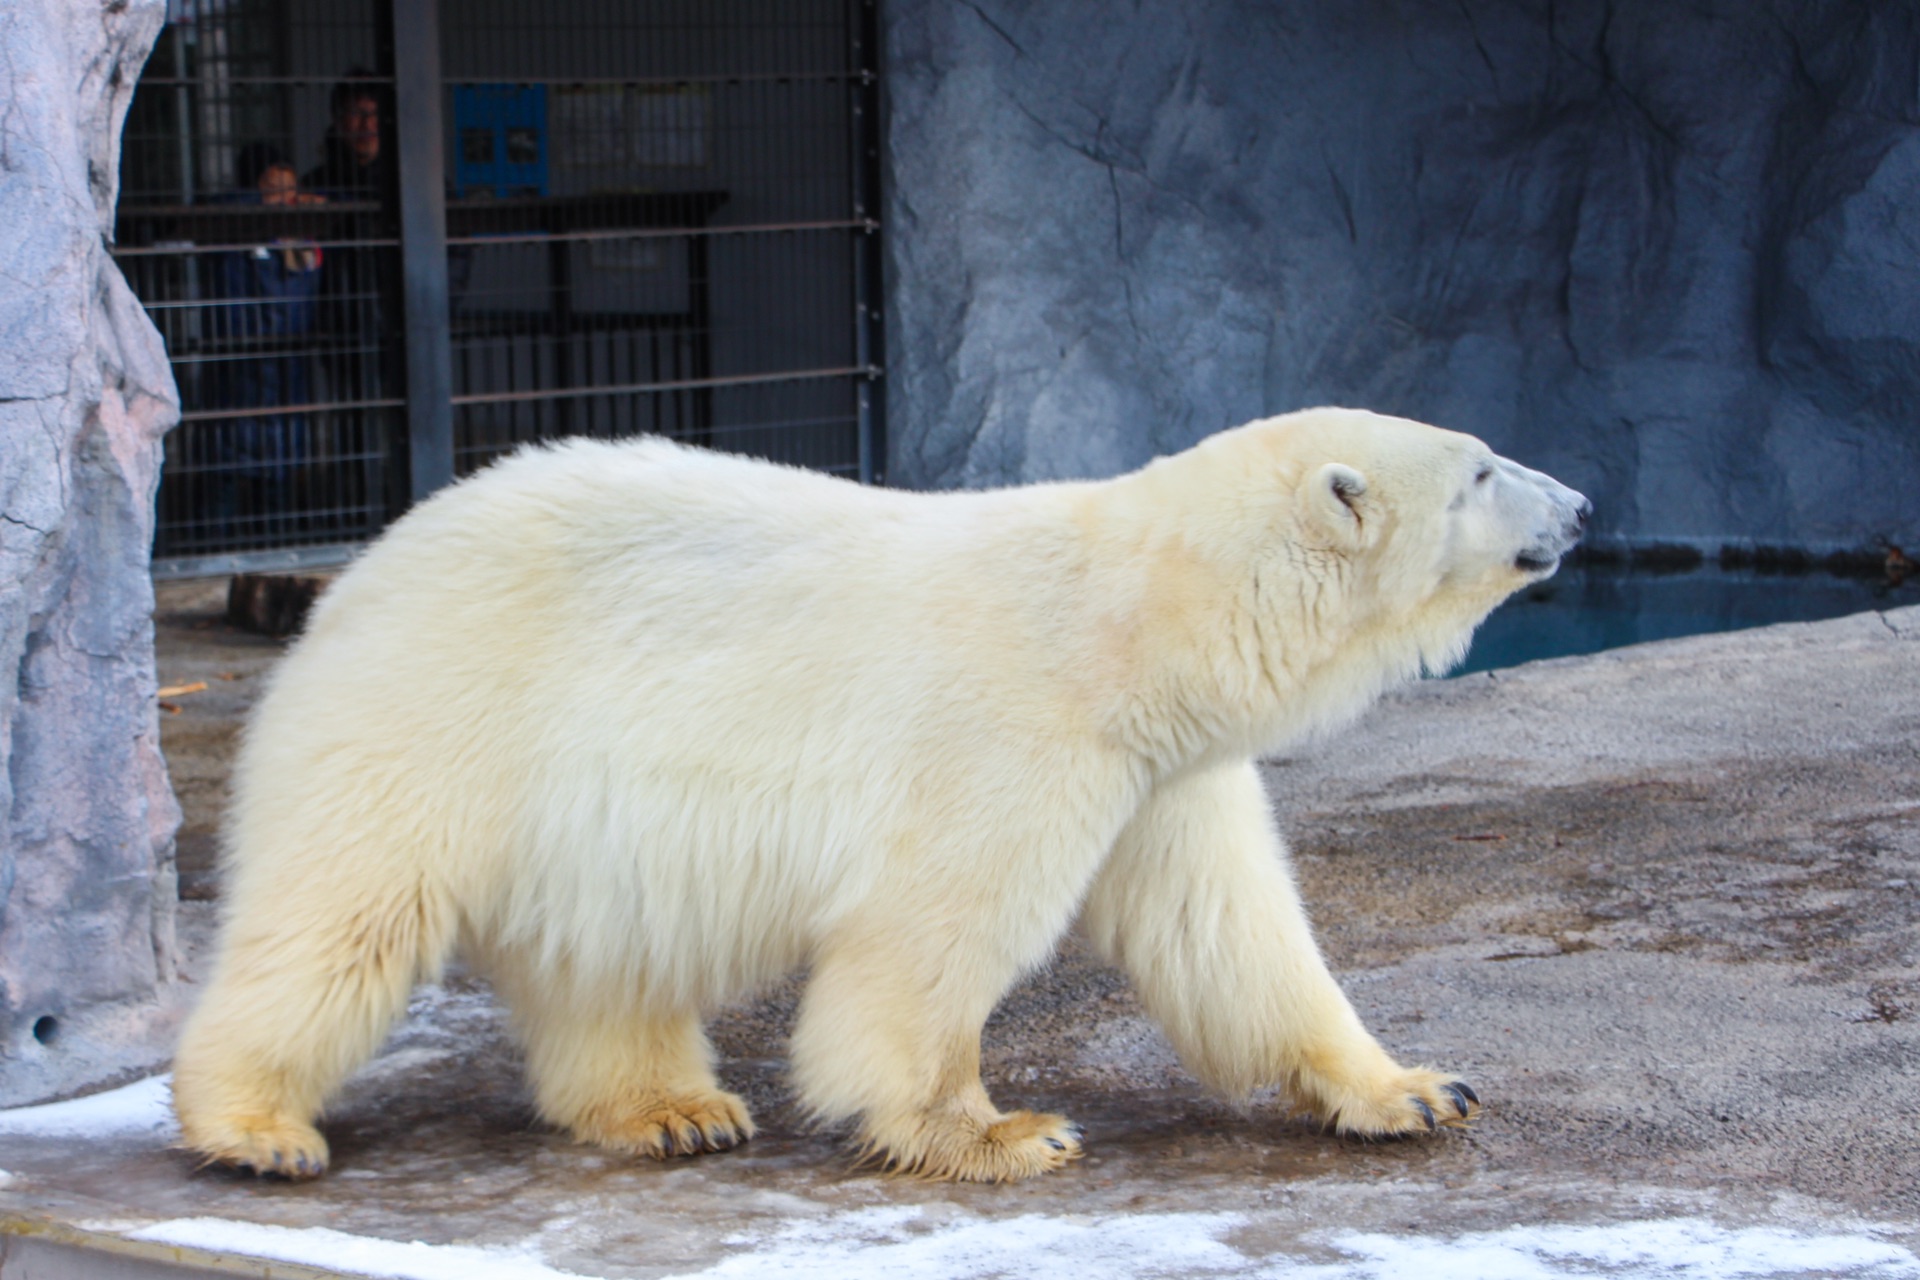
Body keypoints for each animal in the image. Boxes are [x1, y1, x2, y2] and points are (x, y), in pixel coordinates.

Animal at [172, 408, 1589, 1182]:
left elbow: (1235, 933)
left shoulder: (1159, 771)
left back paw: (675, 1109)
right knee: (342, 916)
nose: (1580, 501)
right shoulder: (1023, 731)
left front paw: (1416, 1087)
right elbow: (929, 937)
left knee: (606, 958)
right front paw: (1002, 1130)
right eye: (1478, 469)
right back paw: (254, 1123)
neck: (1127, 623)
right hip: (436, 715)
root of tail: (360, 571)